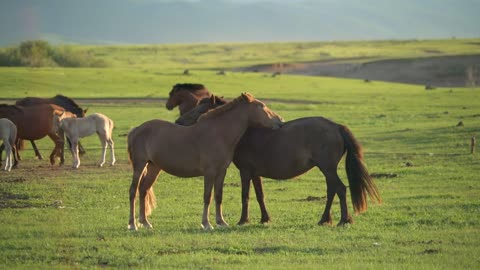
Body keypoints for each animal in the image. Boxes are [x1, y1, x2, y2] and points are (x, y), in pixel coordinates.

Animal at [129, 92, 284, 230]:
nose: (281, 121)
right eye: (262, 106)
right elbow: (207, 196)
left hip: (154, 167)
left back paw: (145, 222)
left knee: (143, 190)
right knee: (133, 191)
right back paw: (132, 225)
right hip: (139, 166)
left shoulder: (221, 172)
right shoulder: (209, 172)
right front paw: (206, 224)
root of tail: (136, 129)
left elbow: (218, 195)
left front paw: (221, 222)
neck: (218, 134)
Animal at [174, 95, 380, 226]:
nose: (178, 122)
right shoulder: (255, 173)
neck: (245, 132)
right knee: (332, 191)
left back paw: (343, 220)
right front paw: (264, 218)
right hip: (327, 170)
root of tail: (336, 126)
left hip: (328, 168)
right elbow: (259, 195)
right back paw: (324, 219)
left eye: (201, 109)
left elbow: (245, 195)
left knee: (340, 189)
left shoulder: (245, 171)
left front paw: (243, 220)